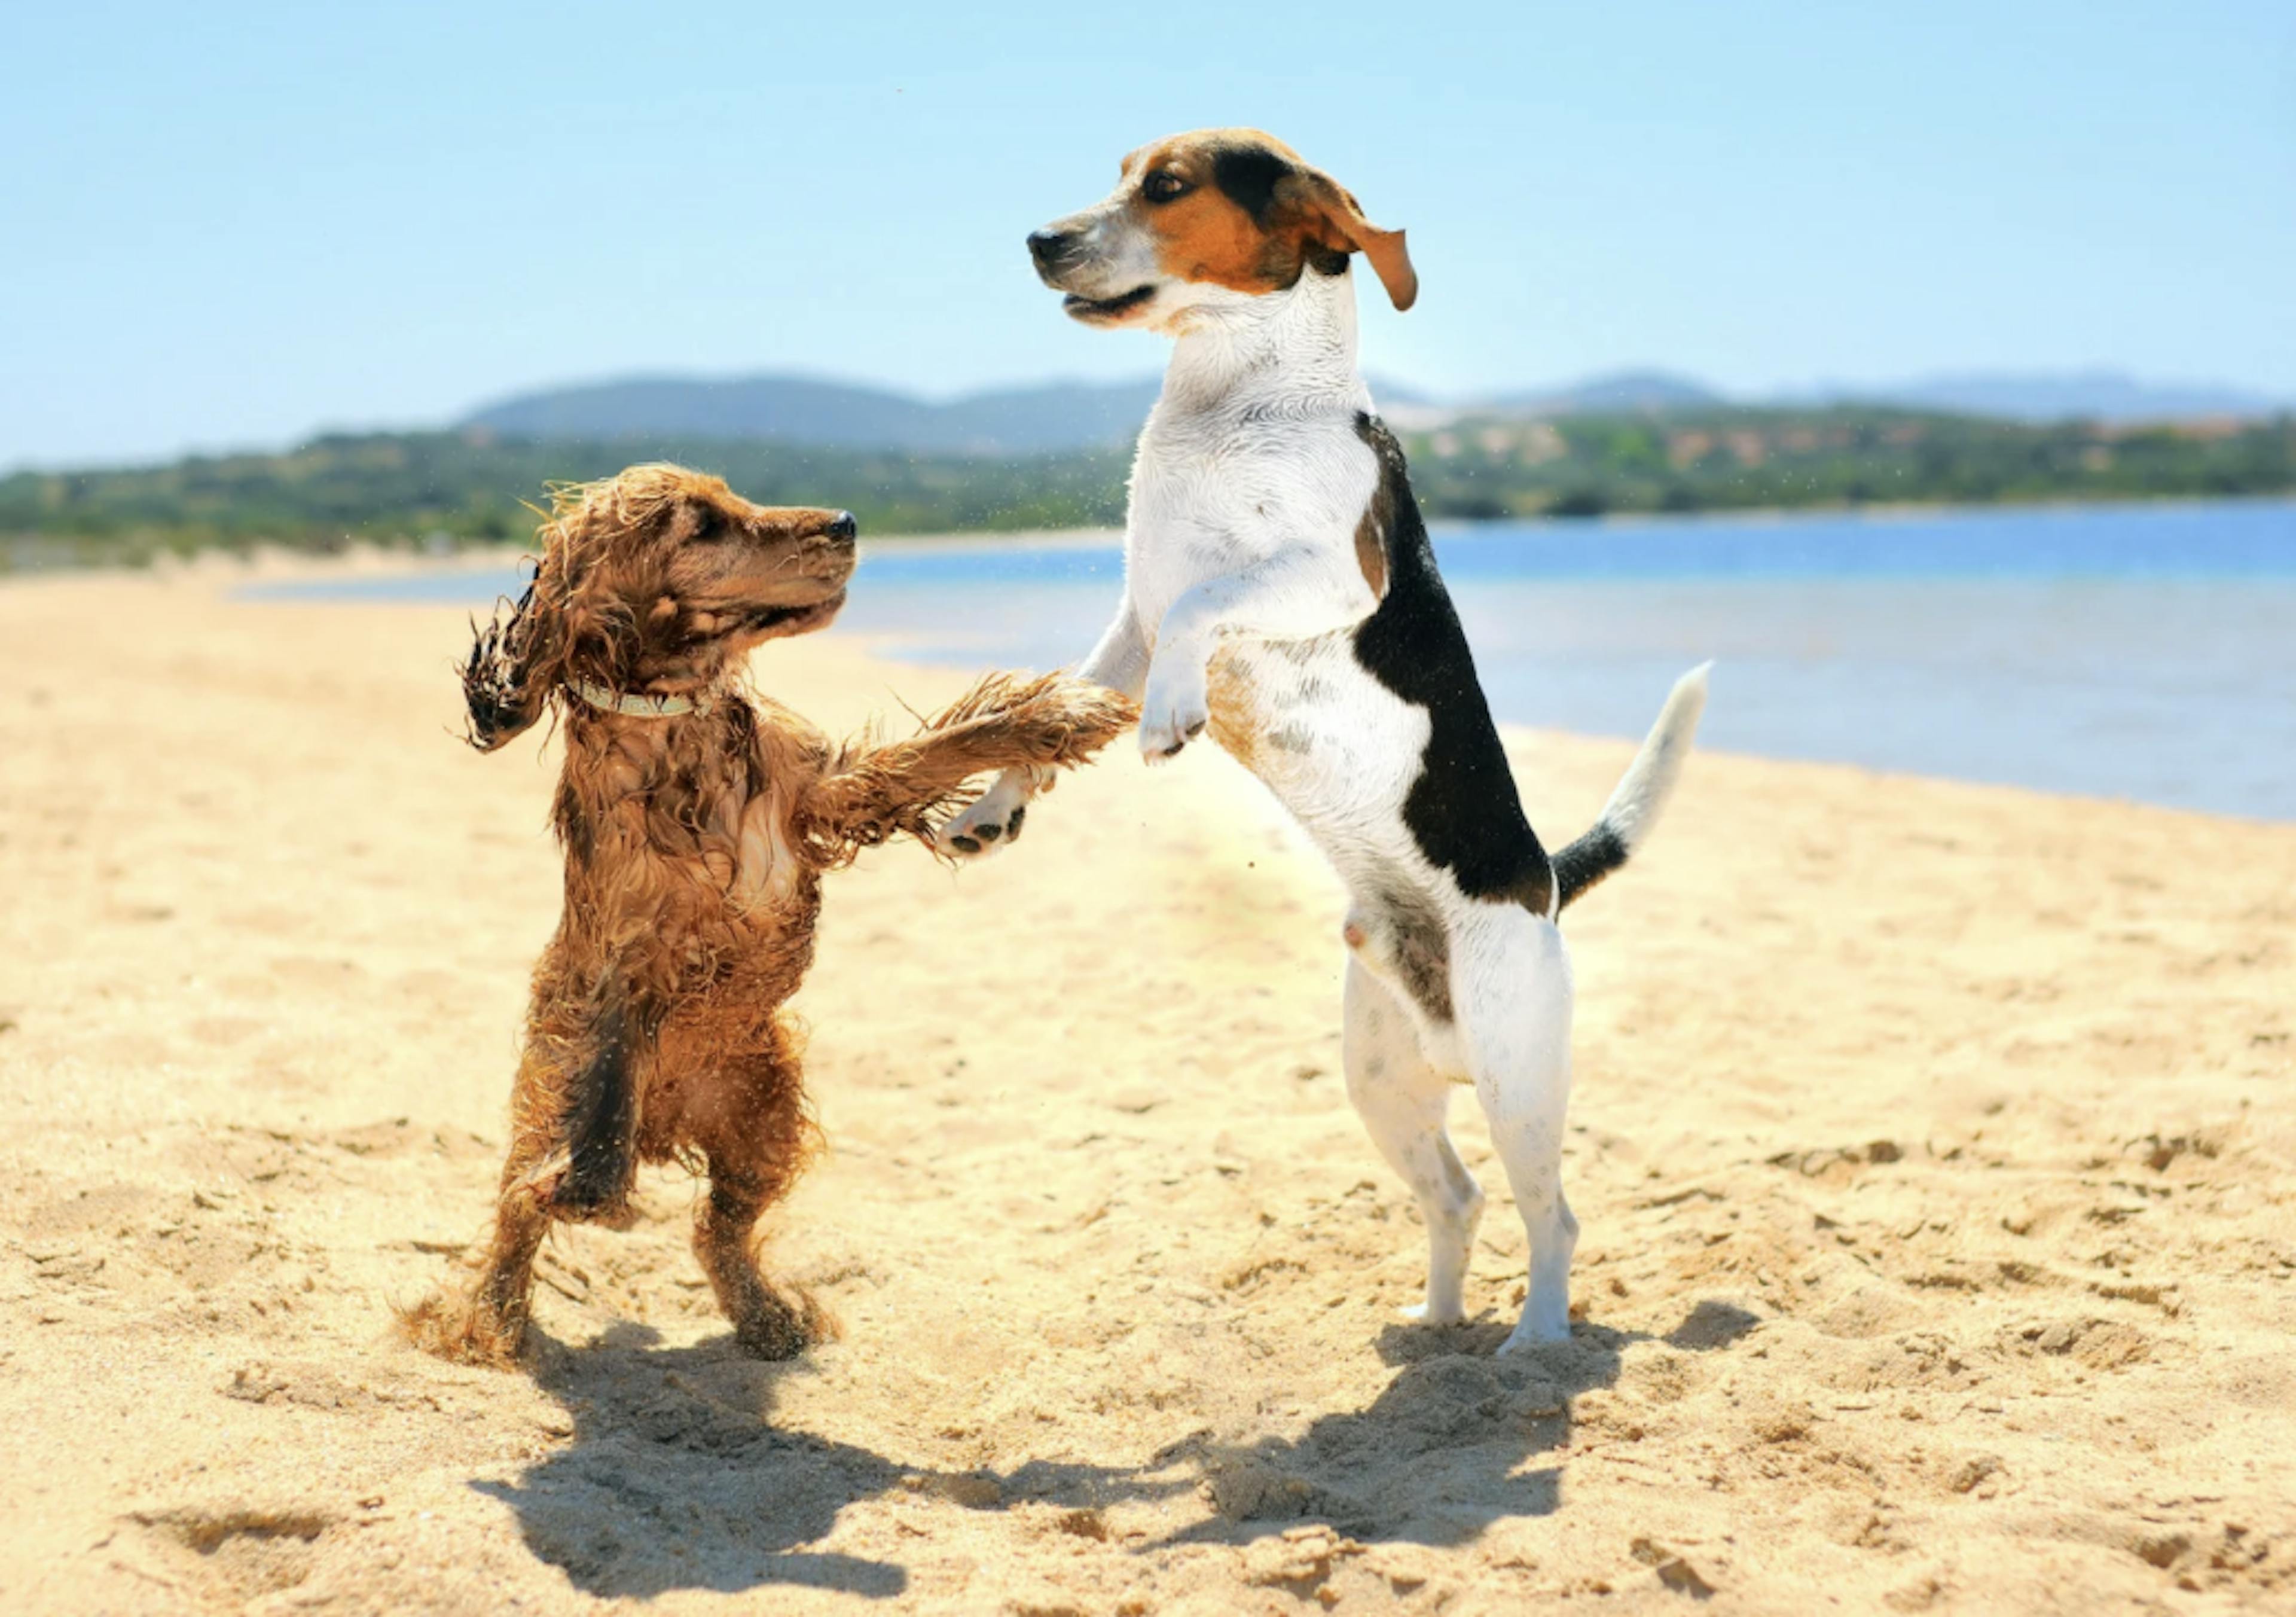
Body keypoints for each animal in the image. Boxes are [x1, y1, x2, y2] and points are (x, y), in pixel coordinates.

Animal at [411, 463, 1138, 1359]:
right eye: (703, 526)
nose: (847, 521)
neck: (677, 725)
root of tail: (670, 1126)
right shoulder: (626, 948)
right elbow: (610, 1073)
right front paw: (592, 1183)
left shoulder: (824, 792)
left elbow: (940, 748)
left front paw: (1056, 715)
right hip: (551, 1093)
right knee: (518, 1210)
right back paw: (493, 1318)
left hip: (767, 1119)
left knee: (718, 1230)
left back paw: (768, 1315)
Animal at [936, 130, 1708, 1350]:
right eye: (1120, 170)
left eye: (1168, 186)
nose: (1039, 240)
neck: (1232, 400)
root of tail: (1542, 879)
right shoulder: (1128, 625)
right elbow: (1053, 723)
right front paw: (989, 806)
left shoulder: (1317, 579)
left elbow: (1207, 601)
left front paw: (1172, 714)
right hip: (1381, 1081)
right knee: (1459, 1196)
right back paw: (1433, 1322)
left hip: (1517, 1074)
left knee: (1554, 1214)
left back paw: (1533, 1341)